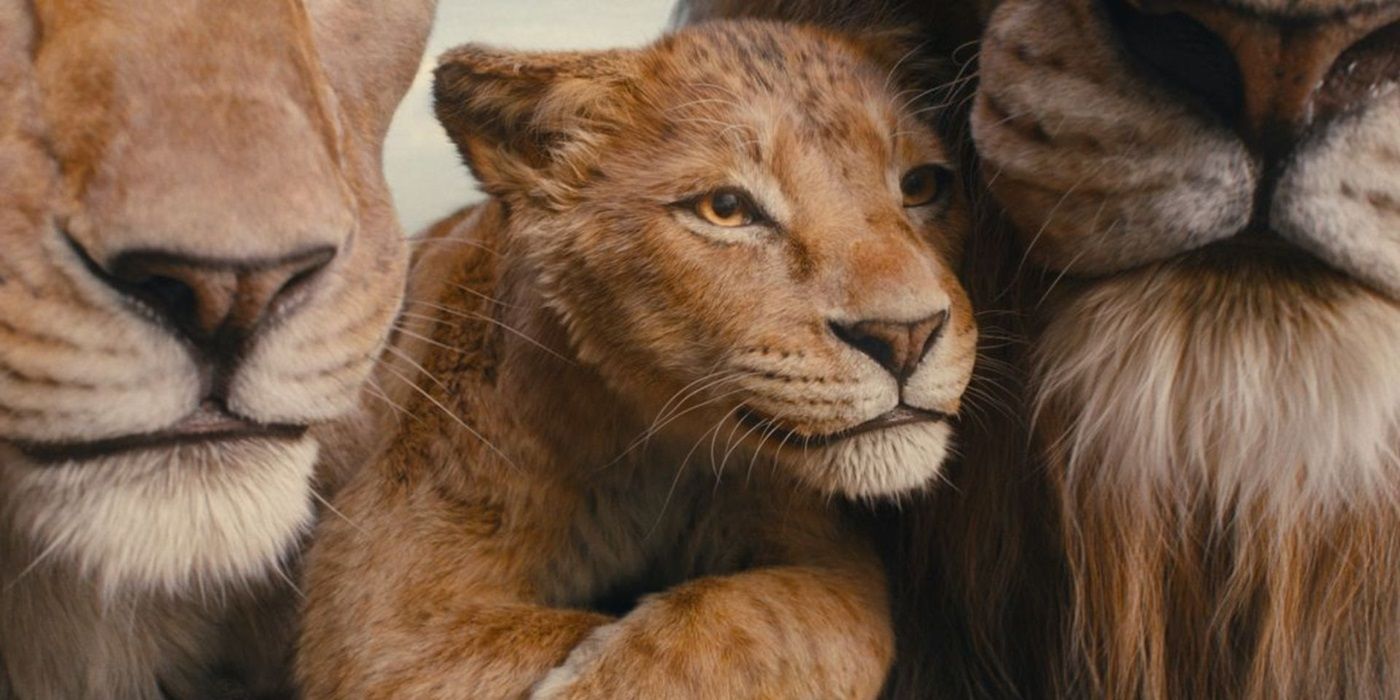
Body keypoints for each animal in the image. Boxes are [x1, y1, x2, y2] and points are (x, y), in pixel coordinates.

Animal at [295, 20, 978, 699]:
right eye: (726, 208)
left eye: (921, 186)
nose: (906, 336)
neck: (648, 447)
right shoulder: (380, 609)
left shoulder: (828, 556)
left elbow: (773, 621)